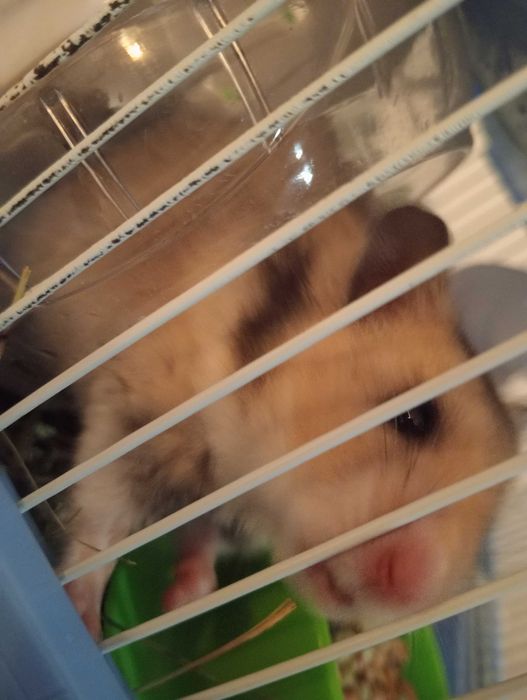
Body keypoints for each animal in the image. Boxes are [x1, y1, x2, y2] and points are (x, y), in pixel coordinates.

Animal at [0, 98, 515, 641]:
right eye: (415, 419)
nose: (409, 593)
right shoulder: (127, 429)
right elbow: (100, 530)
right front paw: (87, 626)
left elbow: (201, 536)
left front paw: (181, 597)